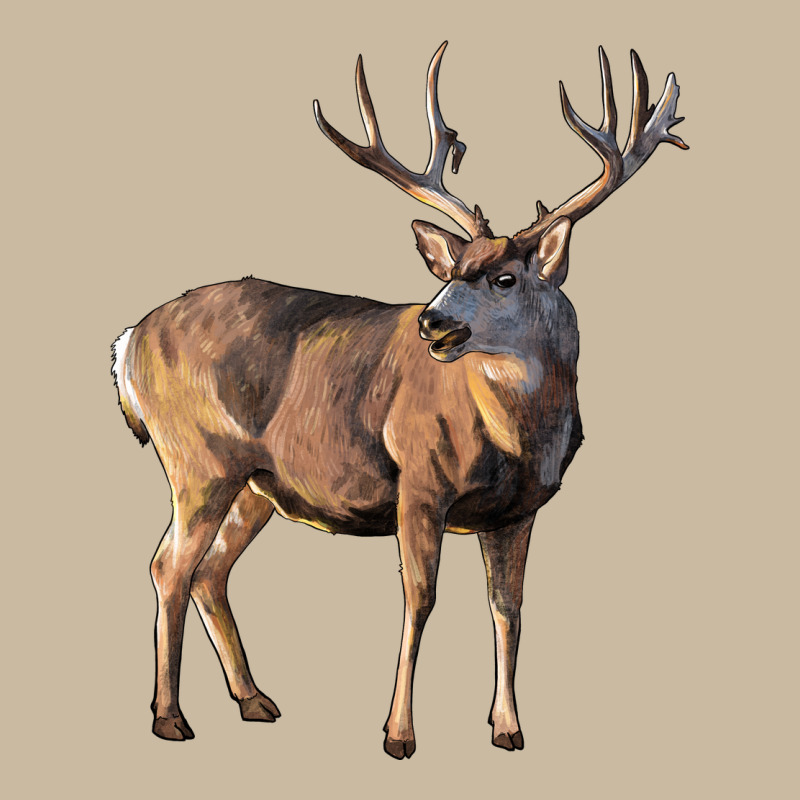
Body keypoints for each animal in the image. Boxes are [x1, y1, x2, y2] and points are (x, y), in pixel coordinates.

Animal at [111, 42, 687, 758]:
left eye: (504, 277)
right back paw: (170, 717)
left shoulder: (520, 510)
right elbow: (420, 598)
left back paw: (255, 701)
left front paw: (508, 728)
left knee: (210, 571)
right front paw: (398, 733)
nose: (432, 323)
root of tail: (129, 341)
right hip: (198, 459)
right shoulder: (419, 481)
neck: (518, 437)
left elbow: (508, 608)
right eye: (450, 271)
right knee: (169, 565)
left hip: (256, 482)